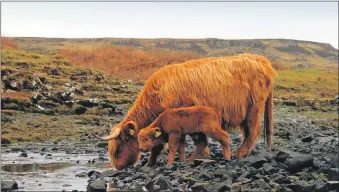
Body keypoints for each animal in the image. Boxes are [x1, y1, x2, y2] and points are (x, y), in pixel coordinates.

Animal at [93, 53, 278, 169]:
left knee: (253, 131)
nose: (118, 167)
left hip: (254, 108)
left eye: (117, 149)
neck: (158, 93)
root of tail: (261, 60)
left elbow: (160, 145)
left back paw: (239, 153)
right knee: (247, 132)